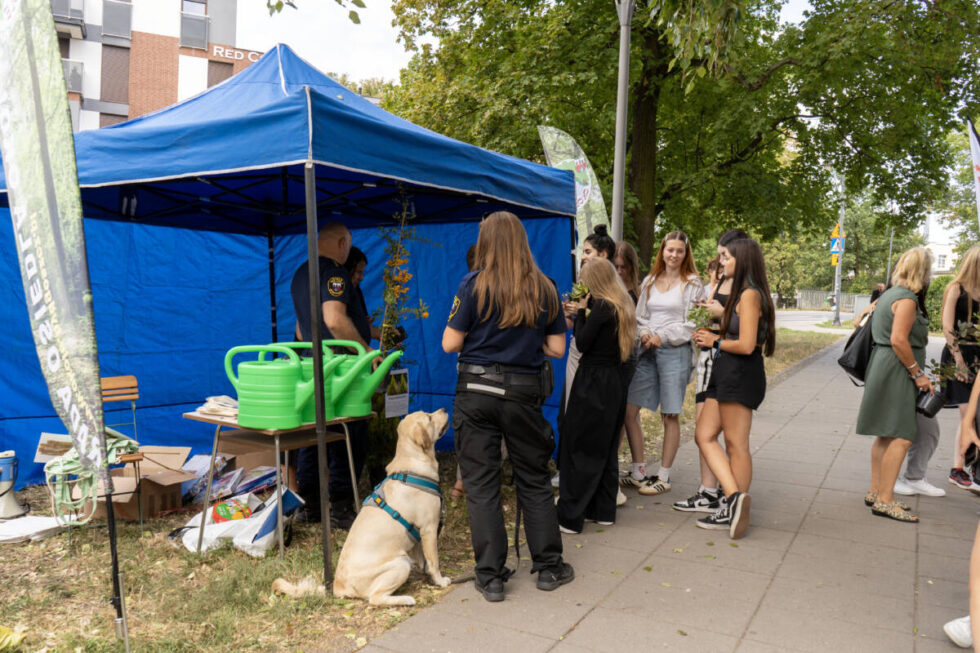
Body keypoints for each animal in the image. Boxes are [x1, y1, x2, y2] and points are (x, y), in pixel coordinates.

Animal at [332, 408, 450, 608]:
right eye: (429, 418)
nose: (443, 409)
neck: (412, 466)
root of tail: (339, 585)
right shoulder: (429, 529)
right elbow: (434, 561)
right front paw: (439, 581)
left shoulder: (418, 535)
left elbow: (423, 560)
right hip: (401, 563)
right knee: (375, 598)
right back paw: (406, 599)